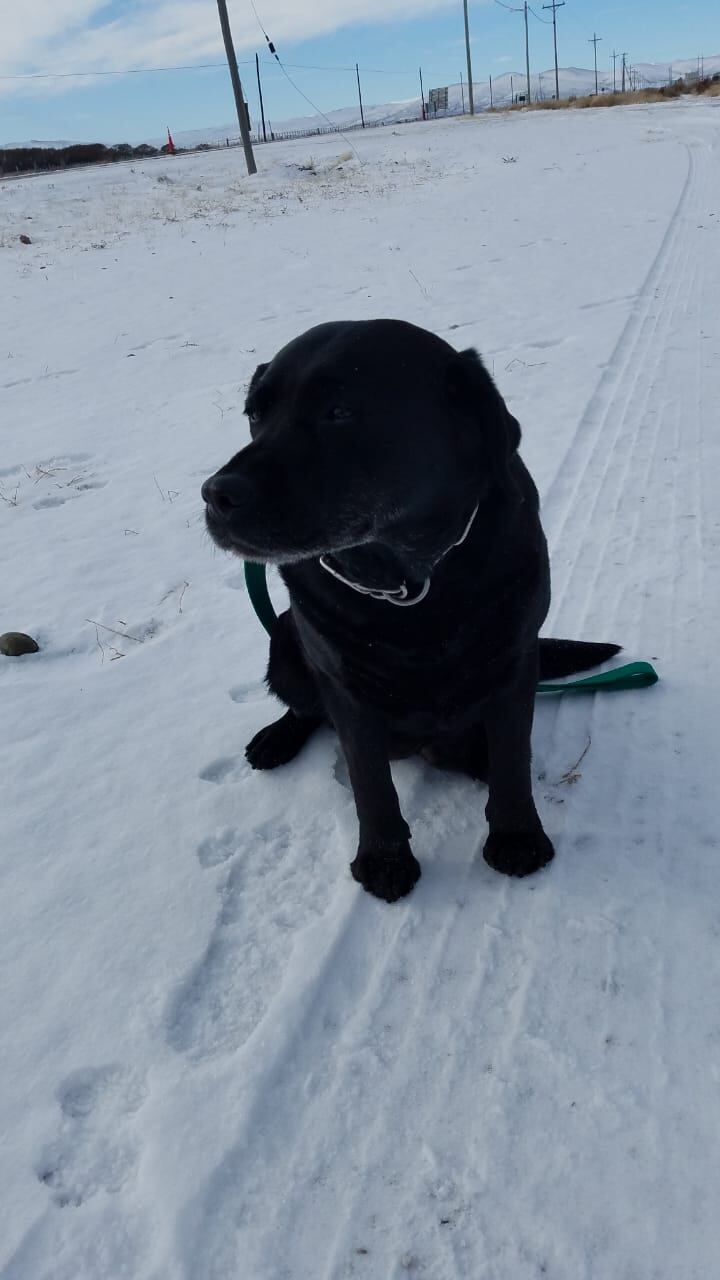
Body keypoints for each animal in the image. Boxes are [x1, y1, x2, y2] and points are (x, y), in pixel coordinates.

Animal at [202, 320, 617, 901]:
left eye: (340, 411)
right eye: (254, 414)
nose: (215, 494)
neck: (409, 582)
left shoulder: (515, 660)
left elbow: (514, 759)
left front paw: (516, 837)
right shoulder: (344, 685)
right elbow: (370, 782)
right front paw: (384, 859)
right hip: (285, 640)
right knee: (304, 709)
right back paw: (276, 738)